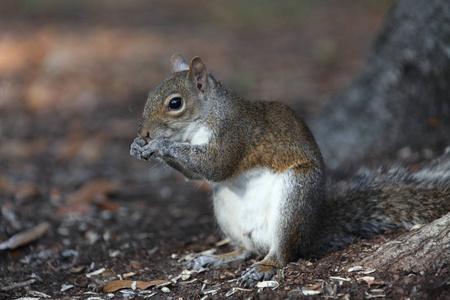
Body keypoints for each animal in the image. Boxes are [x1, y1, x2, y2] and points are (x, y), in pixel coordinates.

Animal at [129, 53, 450, 286]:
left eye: (175, 103)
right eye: (149, 95)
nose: (144, 133)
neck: (208, 115)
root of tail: (313, 229)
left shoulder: (234, 135)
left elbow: (216, 166)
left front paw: (160, 146)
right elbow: (197, 175)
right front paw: (138, 146)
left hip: (295, 197)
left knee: (282, 253)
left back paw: (264, 267)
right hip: (225, 210)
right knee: (247, 249)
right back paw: (218, 258)